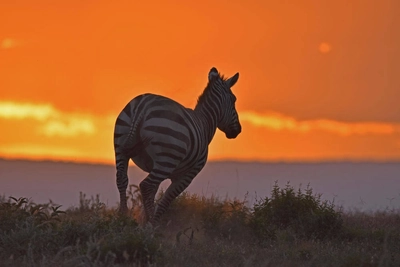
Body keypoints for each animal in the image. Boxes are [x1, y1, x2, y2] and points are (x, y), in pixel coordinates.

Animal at [114, 66, 242, 224]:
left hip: (121, 147)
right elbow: (166, 200)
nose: (238, 130)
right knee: (146, 185)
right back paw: (151, 224)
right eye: (234, 100)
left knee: (122, 179)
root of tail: (143, 105)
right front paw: (152, 222)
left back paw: (123, 217)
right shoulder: (187, 174)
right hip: (167, 157)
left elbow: (155, 195)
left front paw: (144, 219)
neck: (205, 124)